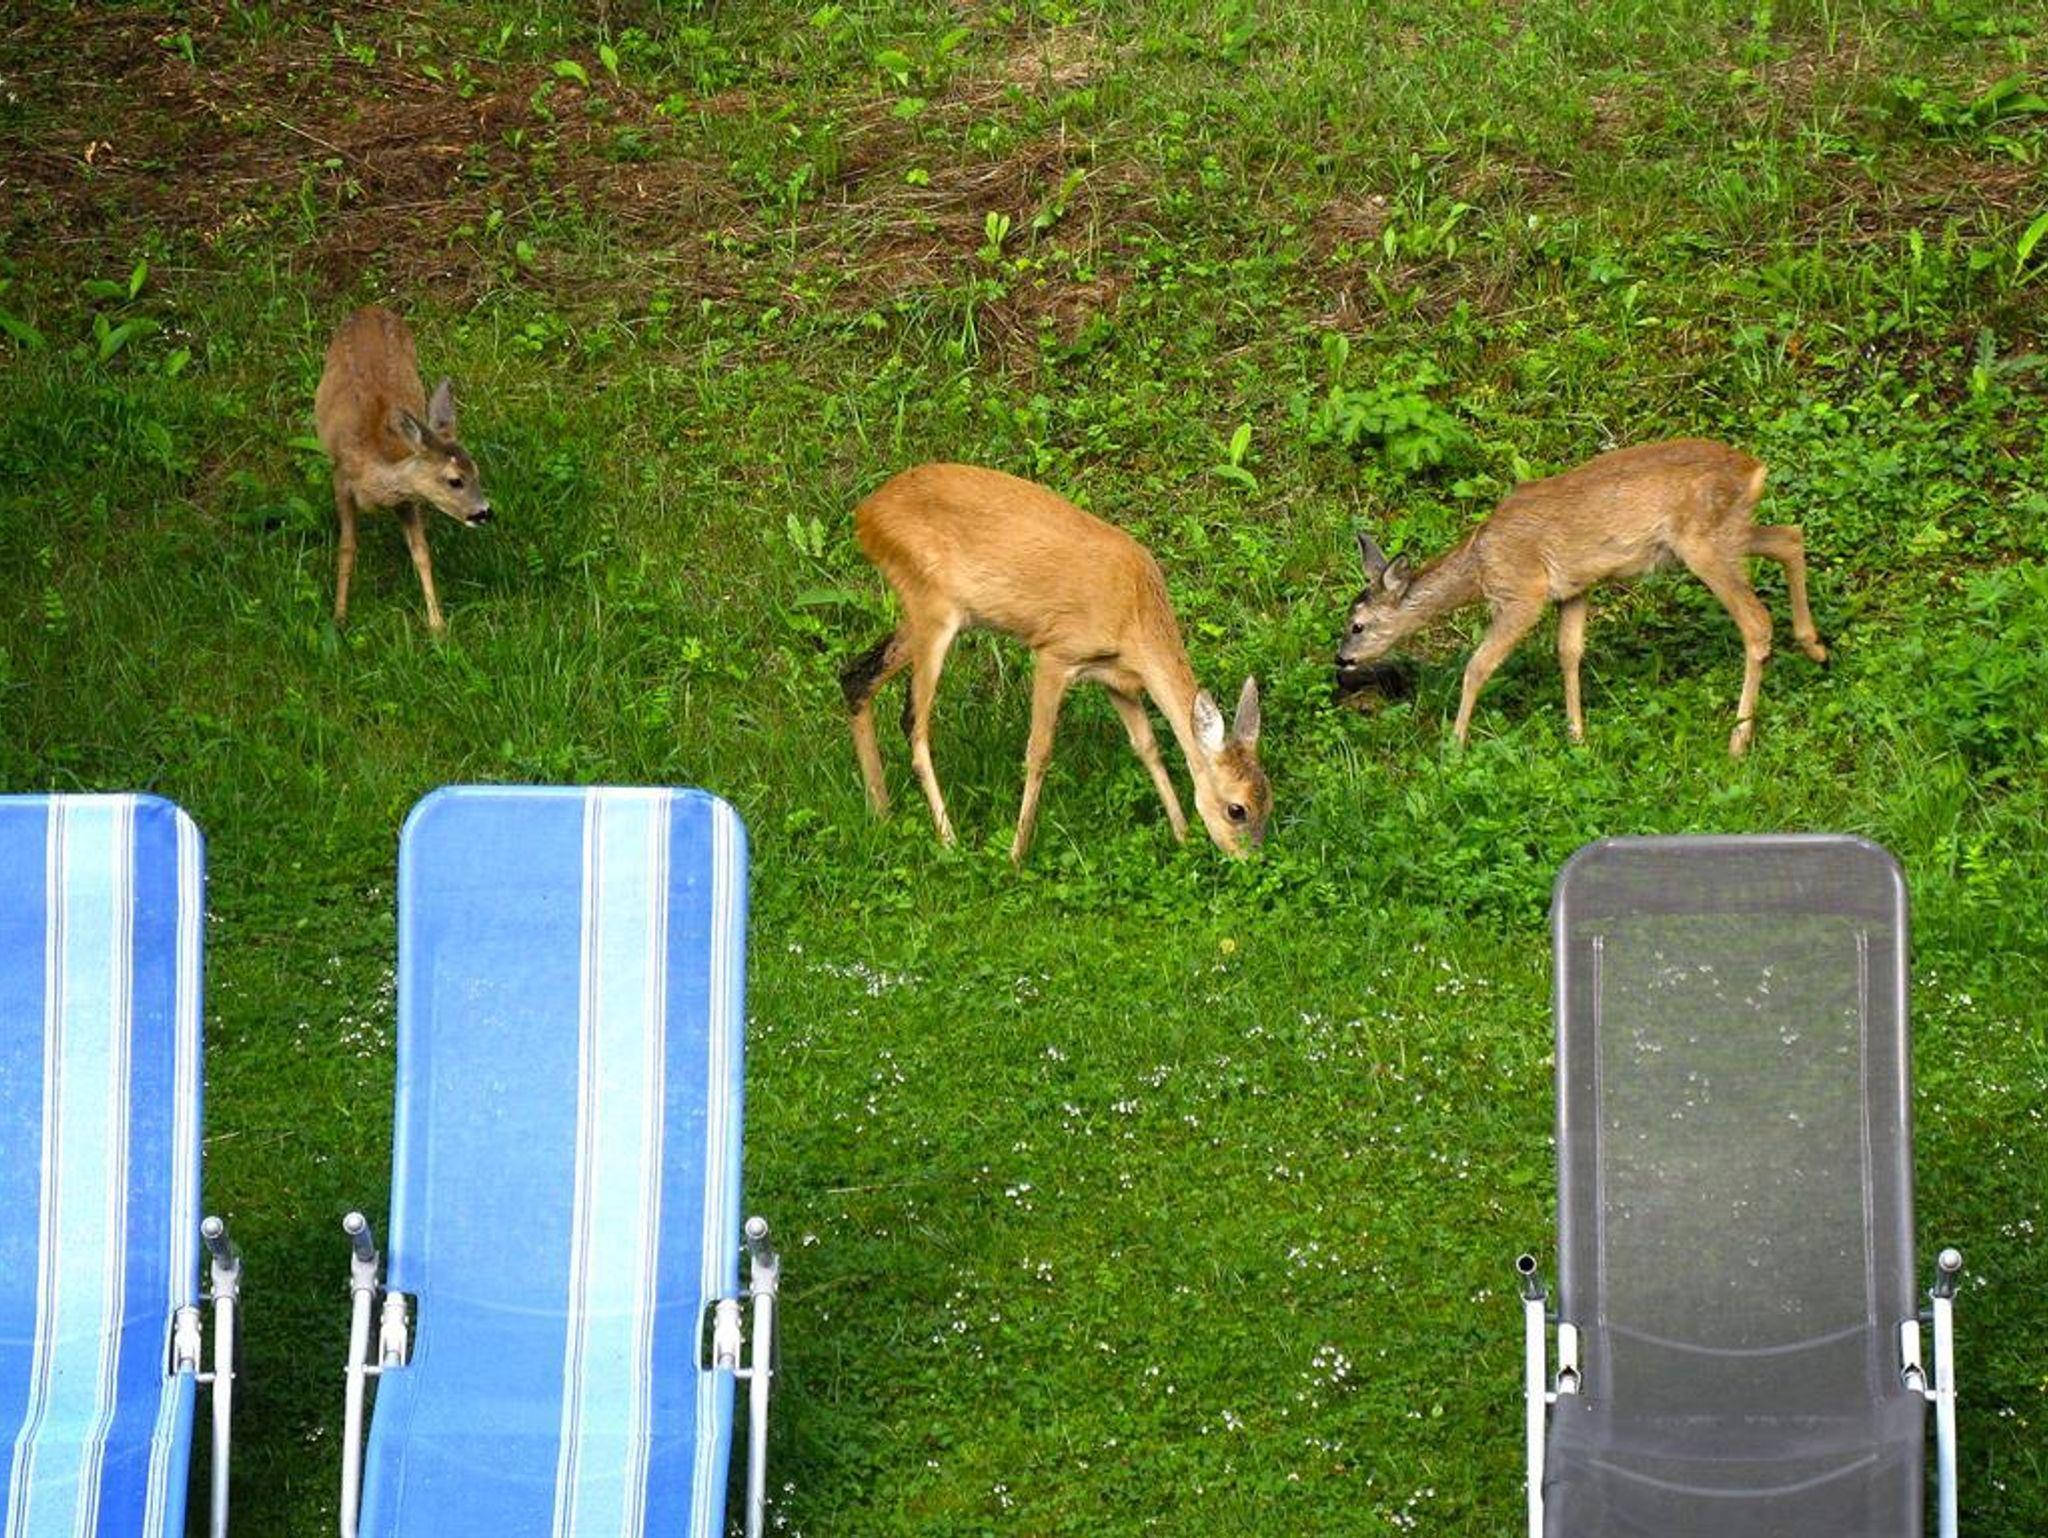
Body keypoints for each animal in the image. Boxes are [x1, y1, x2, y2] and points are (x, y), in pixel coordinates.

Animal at [313, 306, 491, 633]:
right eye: (455, 480)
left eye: (476, 469)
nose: (483, 513)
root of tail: (371, 308)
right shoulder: (340, 479)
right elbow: (347, 548)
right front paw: (339, 618)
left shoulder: (408, 498)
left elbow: (421, 551)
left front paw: (437, 625)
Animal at [841, 463, 1270, 863]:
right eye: (1237, 809)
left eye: (1270, 799)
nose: (1248, 860)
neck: (1135, 612)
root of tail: (865, 514)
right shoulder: (1055, 652)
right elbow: (1039, 752)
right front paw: (1015, 855)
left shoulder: (1115, 678)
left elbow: (1147, 746)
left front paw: (1180, 834)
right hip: (933, 608)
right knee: (913, 723)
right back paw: (950, 841)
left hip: (926, 616)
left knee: (855, 675)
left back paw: (881, 813)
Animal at [1335, 438, 1828, 756]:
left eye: (1357, 625)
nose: (1341, 659)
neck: (1479, 564)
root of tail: (1754, 470)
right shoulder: (1574, 589)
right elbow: (1569, 653)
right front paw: (1577, 736)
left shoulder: (1524, 592)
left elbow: (1479, 665)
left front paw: (1454, 745)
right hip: (1728, 534)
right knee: (1790, 536)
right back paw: (1816, 647)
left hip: (1704, 542)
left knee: (1757, 621)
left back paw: (1738, 741)